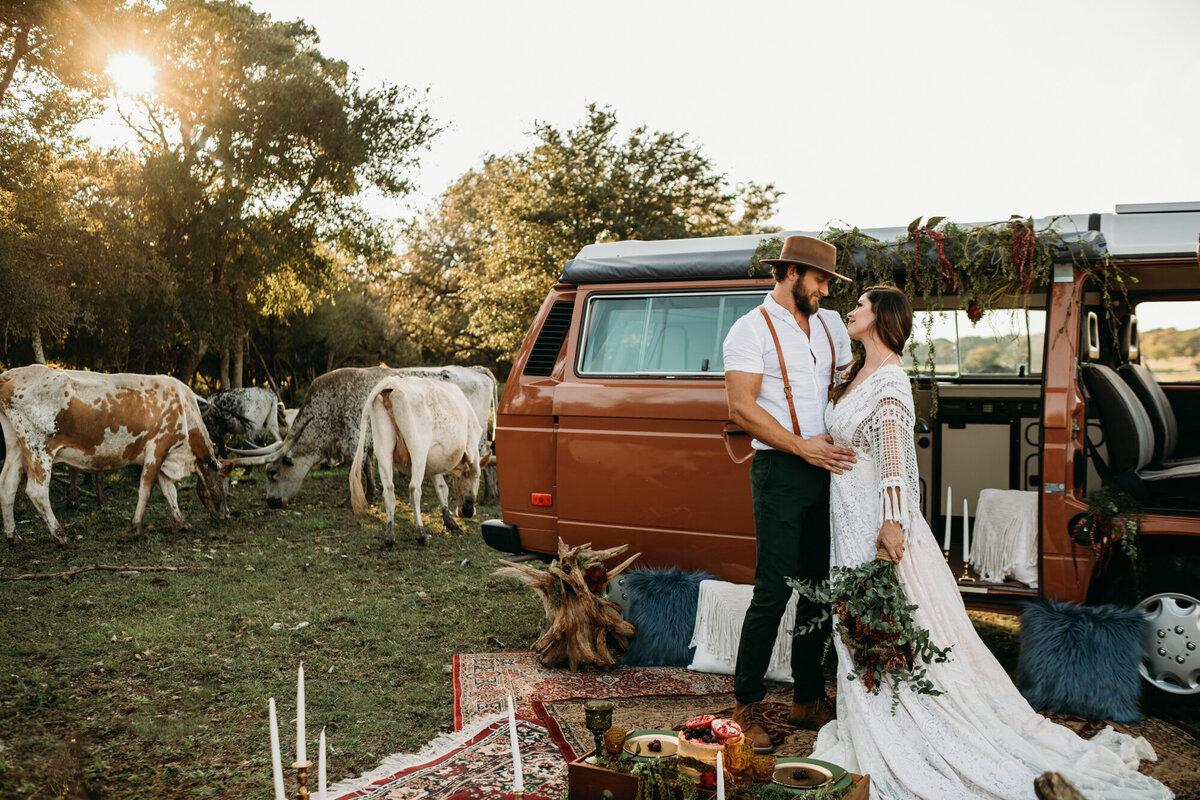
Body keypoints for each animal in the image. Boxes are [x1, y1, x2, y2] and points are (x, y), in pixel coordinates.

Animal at [0, 364, 232, 544]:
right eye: (225, 485)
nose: (225, 515)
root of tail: (12, 373)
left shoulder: (162, 455)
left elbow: (169, 491)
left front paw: (182, 522)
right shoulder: (158, 447)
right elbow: (146, 489)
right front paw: (137, 527)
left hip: (17, 446)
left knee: (7, 485)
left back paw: (13, 536)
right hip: (39, 449)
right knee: (37, 491)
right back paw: (61, 536)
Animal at [243, 367, 496, 510]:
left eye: (272, 473)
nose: (270, 502)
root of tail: (474, 369)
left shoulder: (354, 442)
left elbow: (355, 470)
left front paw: (353, 499)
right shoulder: (365, 444)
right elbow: (367, 467)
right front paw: (370, 493)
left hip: (475, 436)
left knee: (485, 458)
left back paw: (489, 496)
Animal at [345, 379, 480, 546]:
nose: (466, 512)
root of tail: (390, 382)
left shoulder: (432, 464)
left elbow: (442, 488)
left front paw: (449, 521)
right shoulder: (473, 448)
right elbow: (473, 476)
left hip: (383, 448)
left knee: (389, 490)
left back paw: (389, 536)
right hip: (418, 449)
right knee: (415, 489)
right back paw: (421, 534)